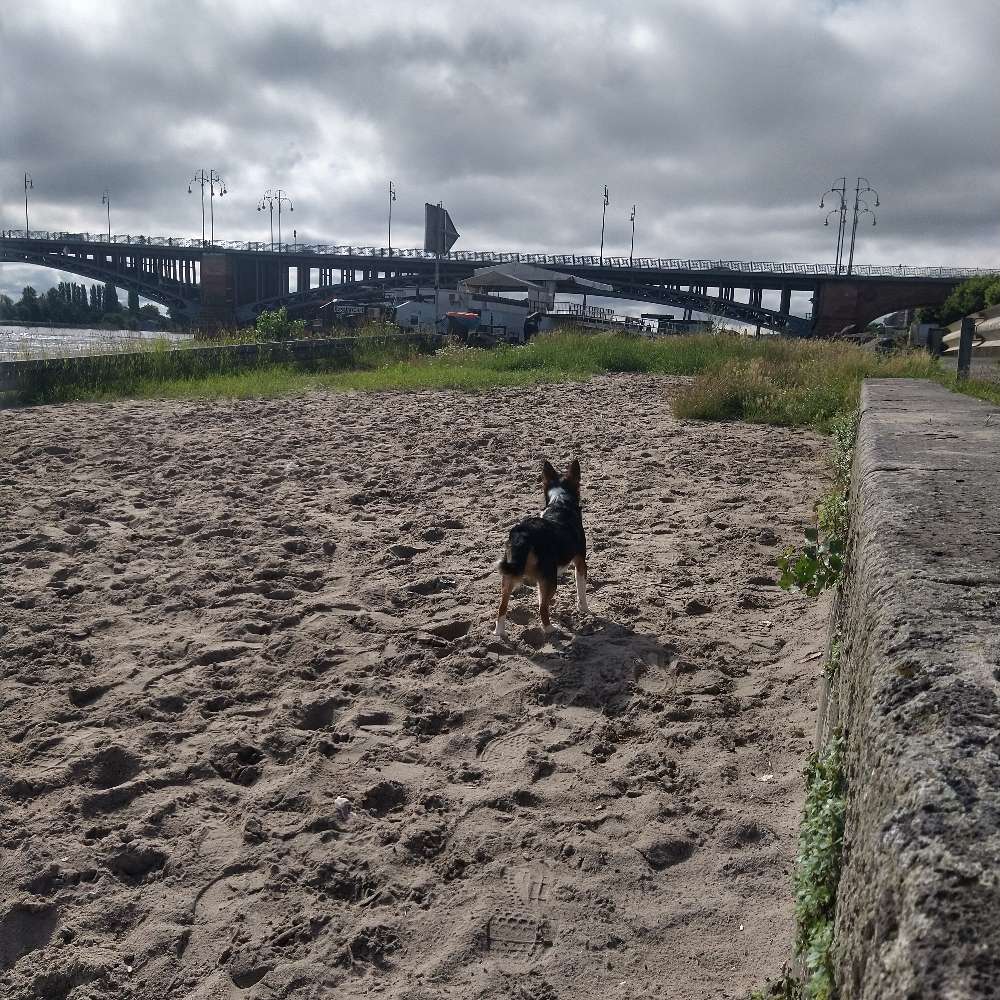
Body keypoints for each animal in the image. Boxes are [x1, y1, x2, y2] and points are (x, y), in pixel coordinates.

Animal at [496, 460, 588, 640]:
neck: (560, 503)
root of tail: (524, 533)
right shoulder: (580, 562)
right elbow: (581, 589)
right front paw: (584, 609)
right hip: (549, 579)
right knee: (542, 607)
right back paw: (550, 629)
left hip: (509, 576)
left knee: (502, 606)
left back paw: (499, 632)